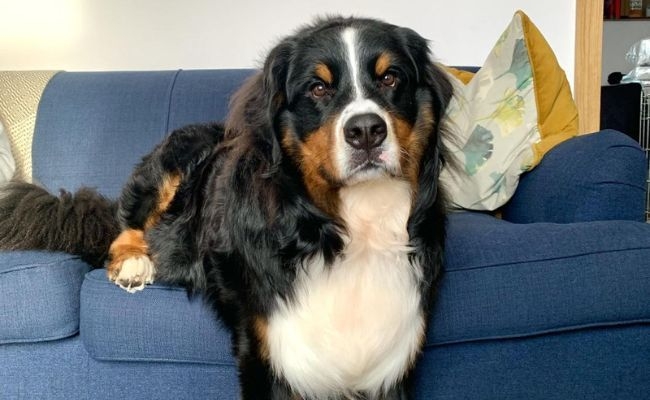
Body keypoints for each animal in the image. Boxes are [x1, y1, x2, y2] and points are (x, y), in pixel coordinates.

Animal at [0, 16, 450, 400]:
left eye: (390, 78)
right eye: (318, 89)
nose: (366, 131)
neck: (347, 227)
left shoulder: (390, 365)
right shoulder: (268, 352)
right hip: (175, 161)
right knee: (127, 228)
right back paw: (134, 263)